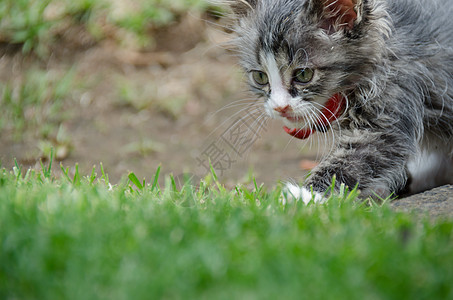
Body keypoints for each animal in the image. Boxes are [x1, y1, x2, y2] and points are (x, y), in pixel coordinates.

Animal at [219, 0, 452, 203]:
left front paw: (304, 196)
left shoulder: (393, 96)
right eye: (260, 77)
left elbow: (356, 157)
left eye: (303, 74)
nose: (279, 107)